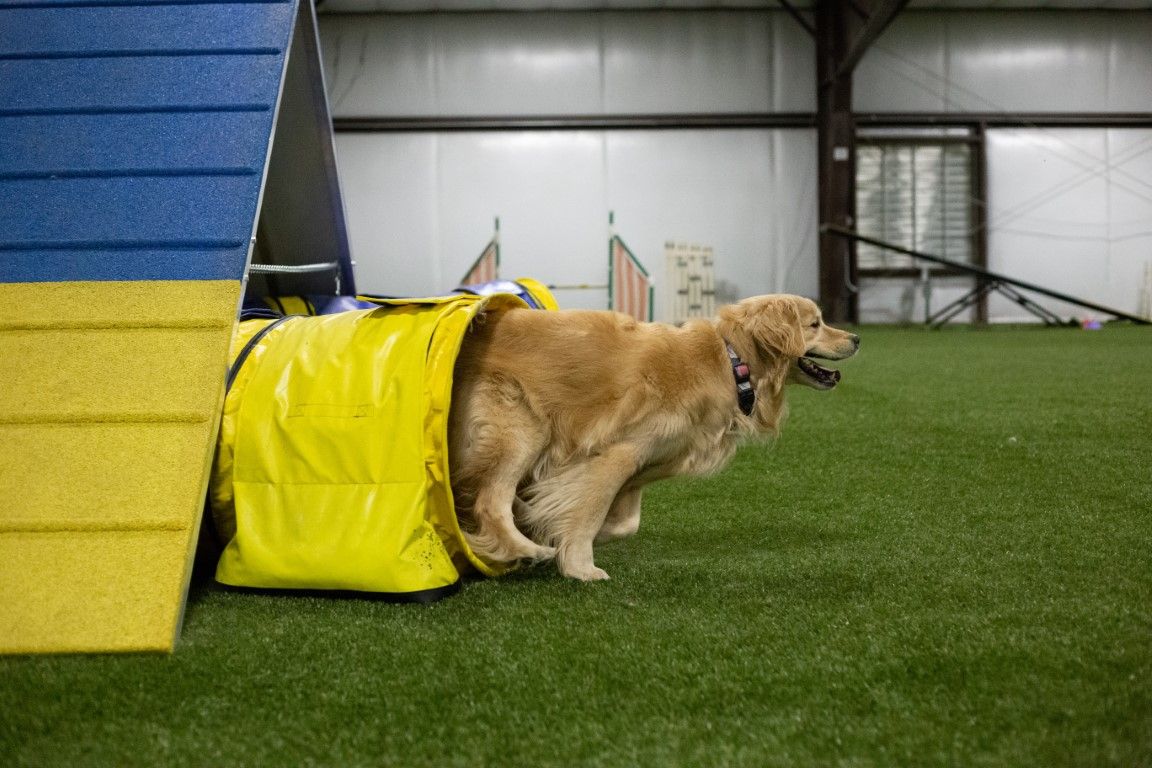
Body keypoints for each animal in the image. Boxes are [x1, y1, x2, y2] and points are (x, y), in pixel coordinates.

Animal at [449, 294, 857, 582]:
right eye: (816, 324)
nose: (856, 337)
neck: (730, 362)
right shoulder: (617, 452)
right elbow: (589, 511)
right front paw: (580, 566)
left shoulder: (644, 462)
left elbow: (624, 523)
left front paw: (551, 525)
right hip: (522, 428)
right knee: (489, 500)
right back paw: (527, 549)